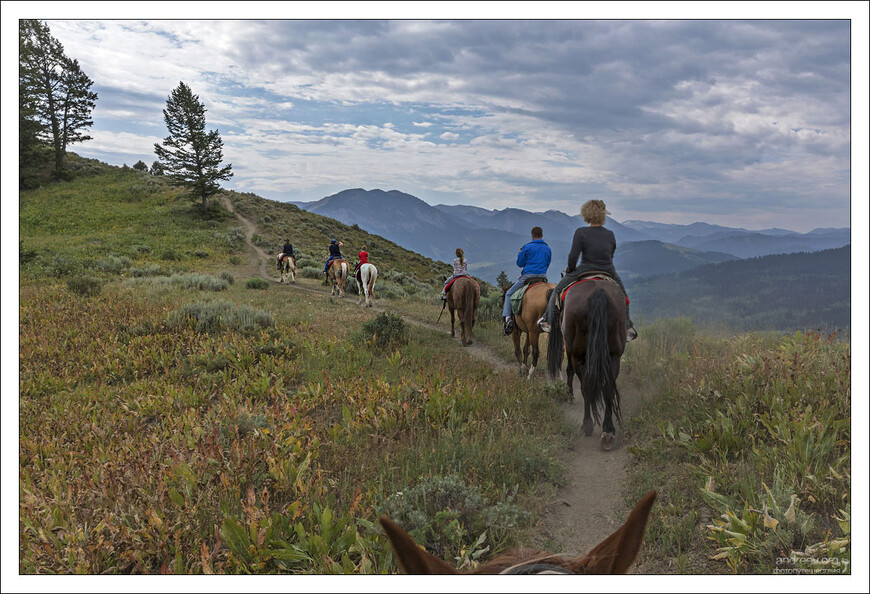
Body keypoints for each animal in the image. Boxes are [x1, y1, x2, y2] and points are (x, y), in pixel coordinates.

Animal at [548, 278, 632, 448]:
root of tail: (598, 292)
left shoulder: (570, 350)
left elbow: (570, 371)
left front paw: (569, 395)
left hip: (578, 354)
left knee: (585, 386)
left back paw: (587, 425)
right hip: (614, 356)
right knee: (608, 388)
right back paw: (608, 431)